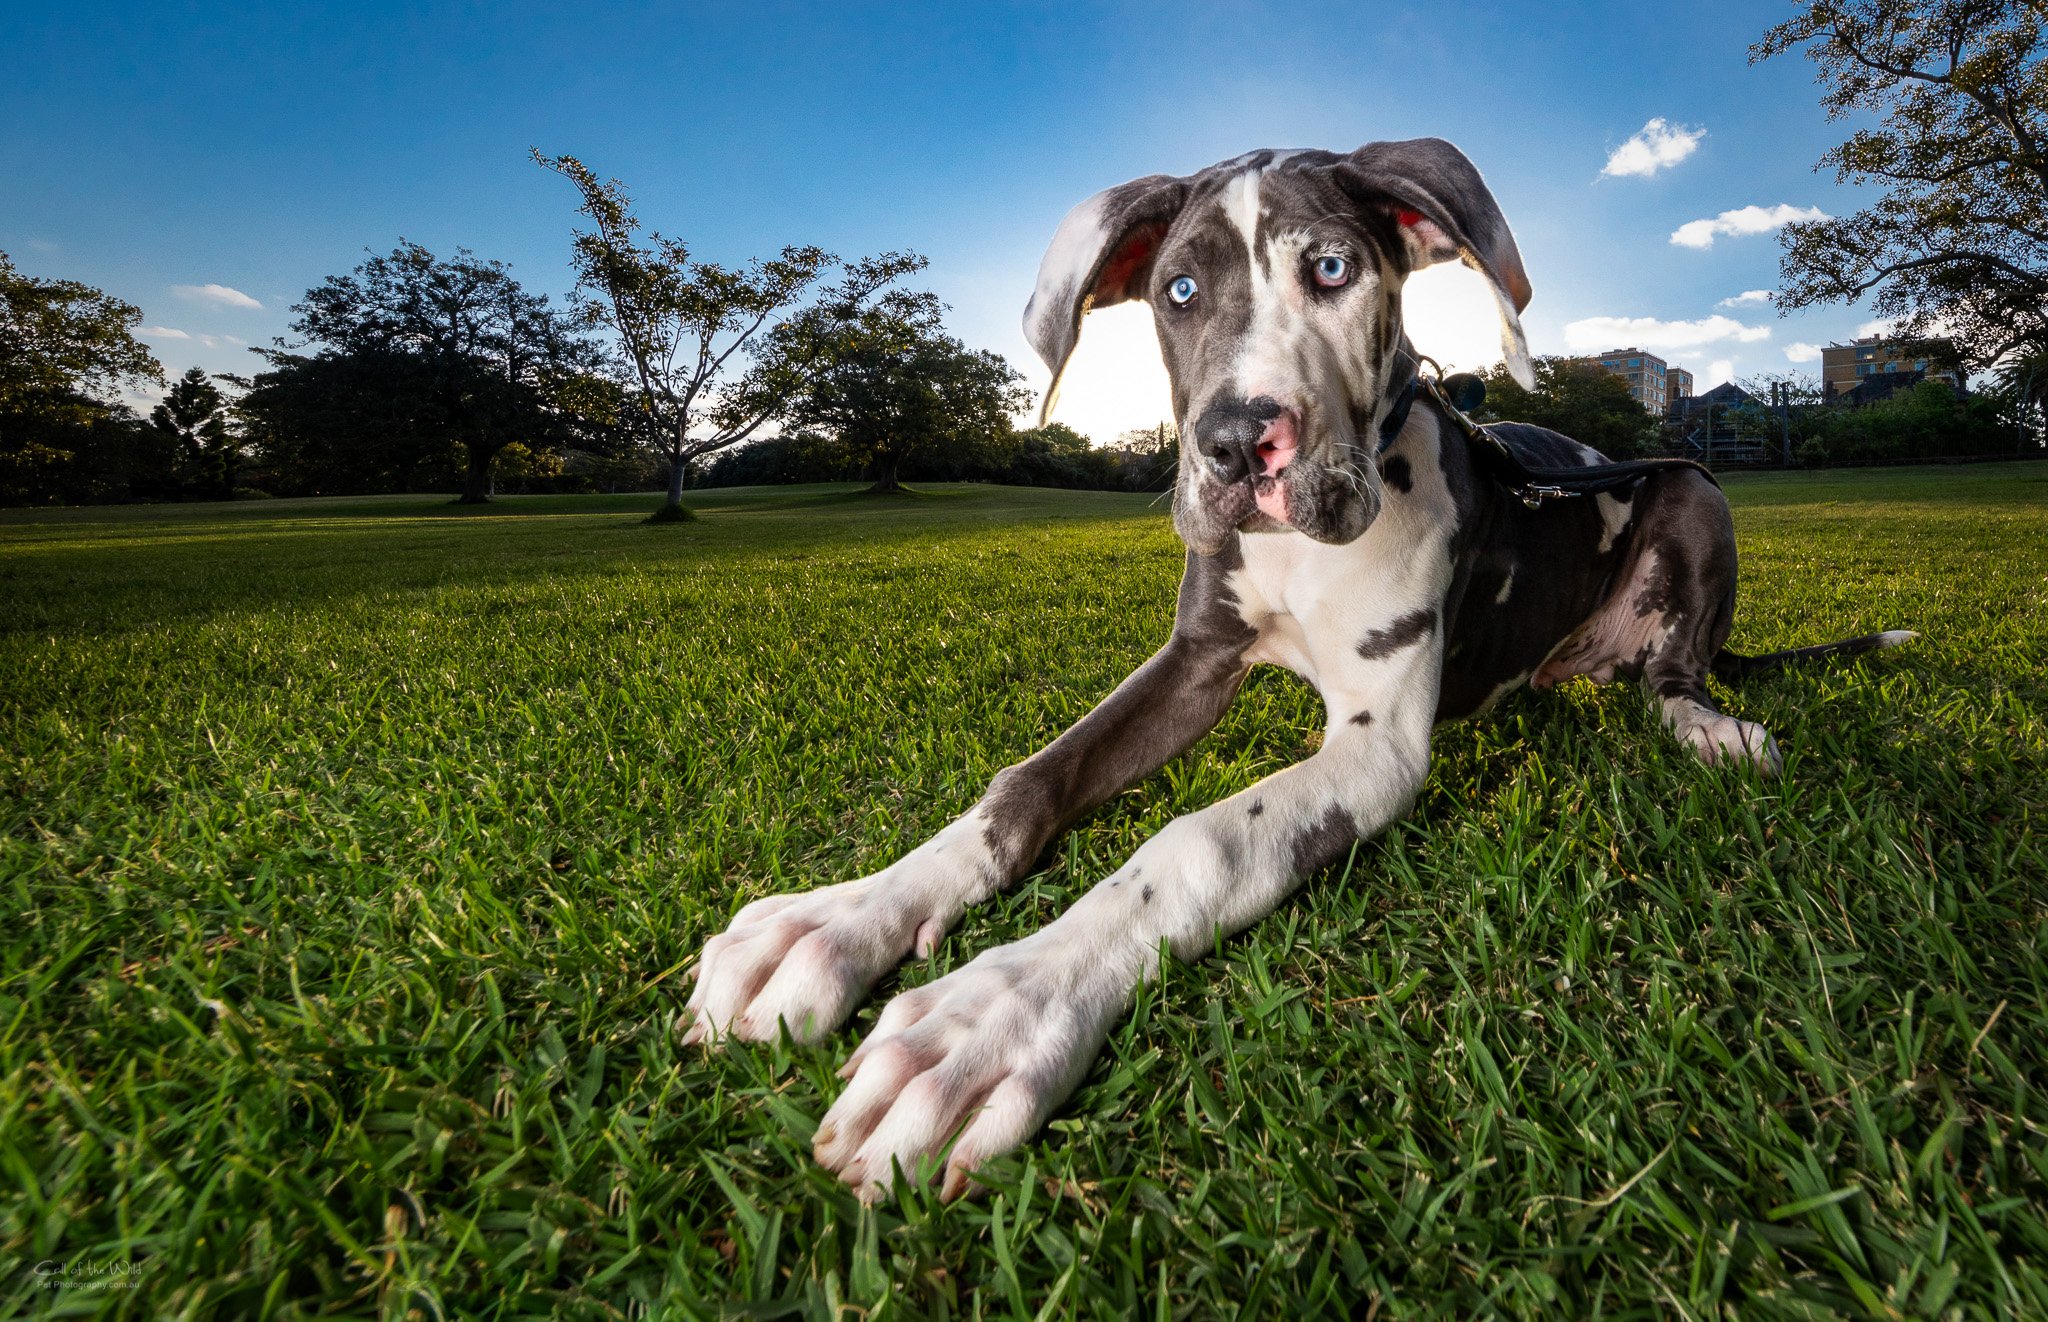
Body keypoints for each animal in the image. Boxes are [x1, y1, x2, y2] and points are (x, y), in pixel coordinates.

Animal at [679, 142, 1908, 1203]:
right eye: (1177, 290)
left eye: (1332, 268)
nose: (1234, 444)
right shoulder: (1194, 659)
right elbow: (1028, 781)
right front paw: (839, 921)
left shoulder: (1376, 745)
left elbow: (1192, 845)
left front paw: (993, 1016)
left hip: (1696, 488)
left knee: (1676, 669)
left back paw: (1711, 727)